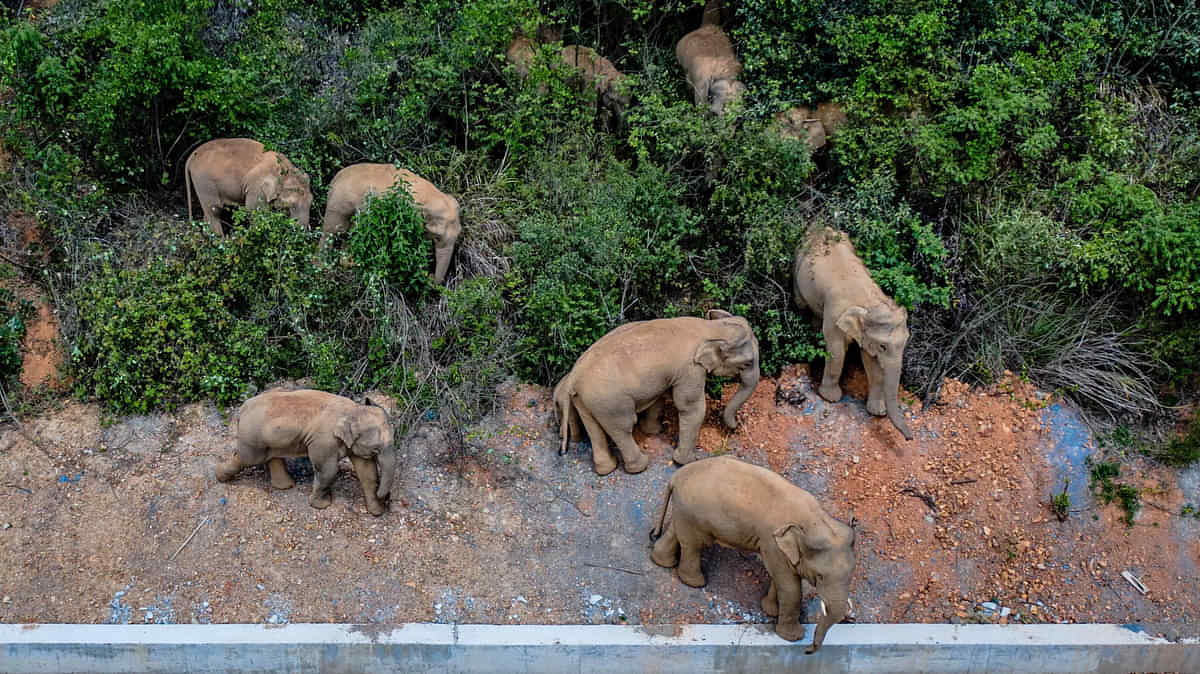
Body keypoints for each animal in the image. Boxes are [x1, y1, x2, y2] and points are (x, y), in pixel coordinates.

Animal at [184, 134, 312, 235]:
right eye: (292, 206)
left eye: (311, 203)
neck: (284, 171)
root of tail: (192, 156)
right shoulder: (256, 187)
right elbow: (255, 212)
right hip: (204, 182)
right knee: (214, 211)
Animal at [321, 163, 460, 283]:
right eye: (437, 237)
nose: (430, 275)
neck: (432, 196)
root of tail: (334, 179)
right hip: (338, 205)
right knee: (332, 233)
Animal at [552, 309, 758, 472]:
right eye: (747, 363)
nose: (735, 427)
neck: (711, 327)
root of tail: (574, 377)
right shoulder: (690, 369)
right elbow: (691, 407)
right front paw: (687, 461)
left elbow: (659, 397)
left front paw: (654, 431)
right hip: (610, 402)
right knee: (623, 427)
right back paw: (640, 466)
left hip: (585, 400)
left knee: (594, 429)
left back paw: (606, 469)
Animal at [652, 453, 859, 647]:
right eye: (820, 576)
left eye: (851, 574)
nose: (809, 649)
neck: (816, 520)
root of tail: (676, 476)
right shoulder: (772, 542)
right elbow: (790, 587)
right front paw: (793, 637)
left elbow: (780, 578)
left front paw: (771, 610)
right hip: (694, 513)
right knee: (694, 544)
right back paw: (696, 583)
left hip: (685, 510)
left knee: (677, 532)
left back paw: (662, 561)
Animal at [792, 226, 912, 441]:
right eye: (883, 346)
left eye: (905, 343)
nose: (909, 438)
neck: (869, 302)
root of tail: (819, 227)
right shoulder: (834, 314)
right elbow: (837, 350)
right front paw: (830, 398)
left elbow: (870, 361)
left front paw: (877, 411)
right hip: (797, 265)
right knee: (802, 304)